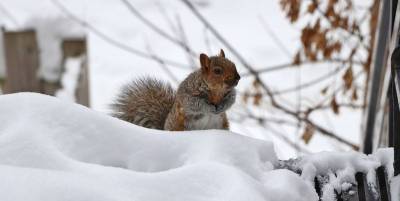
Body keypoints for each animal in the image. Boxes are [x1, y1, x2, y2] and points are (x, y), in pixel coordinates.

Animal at [111, 49, 239, 131]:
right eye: (217, 71)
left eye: (233, 64)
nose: (238, 77)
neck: (216, 90)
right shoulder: (188, 95)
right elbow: (196, 104)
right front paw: (209, 107)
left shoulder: (230, 93)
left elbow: (231, 100)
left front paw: (222, 106)